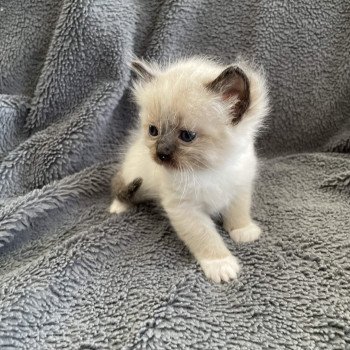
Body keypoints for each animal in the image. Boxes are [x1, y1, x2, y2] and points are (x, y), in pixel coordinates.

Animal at [110, 56, 270, 282]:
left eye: (187, 136)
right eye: (154, 131)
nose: (161, 153)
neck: (210, 169)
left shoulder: (240, 188)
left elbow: (238, 213)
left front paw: (243, 231)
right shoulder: (185, 209)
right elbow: (205, 237)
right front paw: (221, 265)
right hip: (135, 176)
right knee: (123, 186)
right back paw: (118, 207)